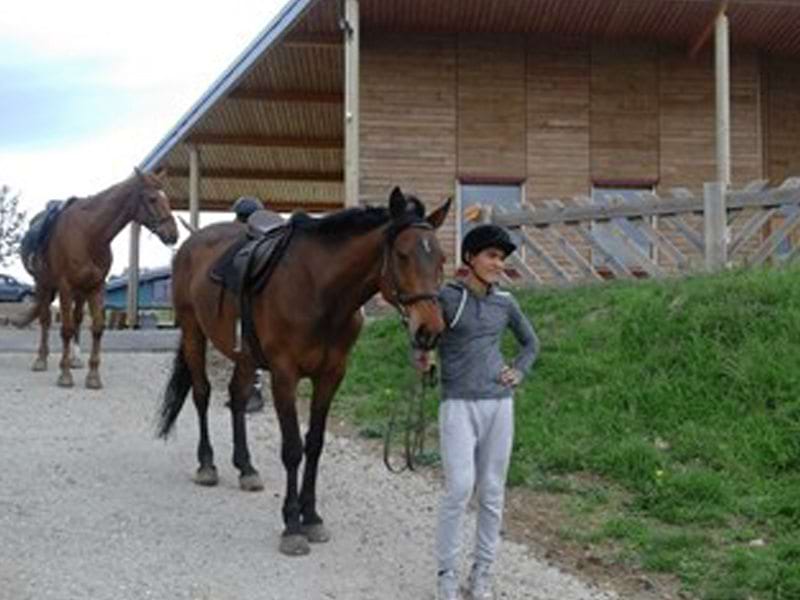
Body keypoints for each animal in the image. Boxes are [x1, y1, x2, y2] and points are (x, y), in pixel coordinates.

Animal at [12, 168, 178, 390]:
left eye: (166, 198)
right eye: (152, 199)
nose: (173, 234)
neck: (88, 233)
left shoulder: (97, 286)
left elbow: (97, 328)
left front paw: (93, 376)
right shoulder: (65, 287)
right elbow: (65, 329)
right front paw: (65, 375)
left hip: (80, 291)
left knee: (76, 319)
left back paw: (75, 359)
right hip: (43, 285)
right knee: (46, 320)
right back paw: (41, 359)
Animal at [158, 189, 450, 556]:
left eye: (441, 258)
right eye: (402, 255)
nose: (430, 330)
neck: (321, 290)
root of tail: (191, 243)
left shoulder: (331, 376)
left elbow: (314, 445)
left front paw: (311, 517)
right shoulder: (285, 375)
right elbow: (293, 448)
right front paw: (292, 526)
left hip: (245, 355)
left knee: (237, 398)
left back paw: (246, 467)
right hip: (194, 333)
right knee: (202, 394)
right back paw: (207, 464)